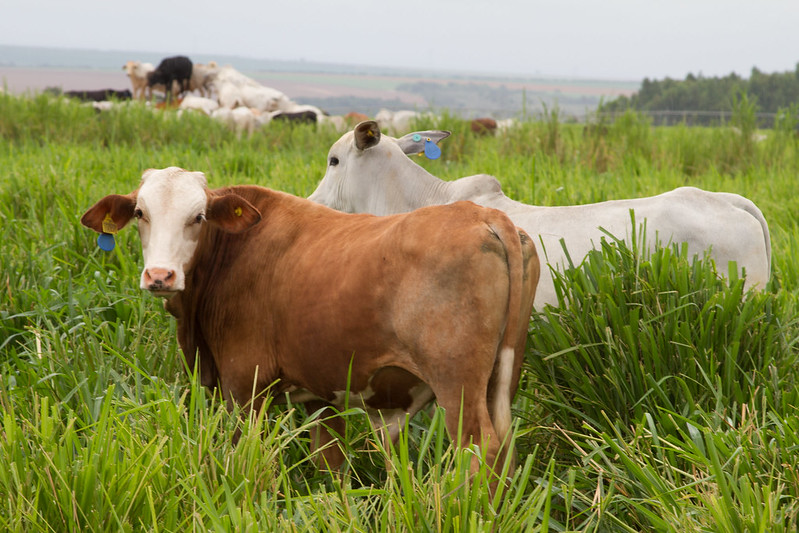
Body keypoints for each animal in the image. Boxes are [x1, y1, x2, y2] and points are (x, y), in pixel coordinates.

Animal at [81, 167, 540, 478]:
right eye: (140, 213)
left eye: (198, 217)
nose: (160, 276)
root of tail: (485, 216)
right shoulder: (321, 396)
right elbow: (331, 466)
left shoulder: (244, 387)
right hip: (501, 380)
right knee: (506, 452)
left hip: (457, 386)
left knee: (482, 450)